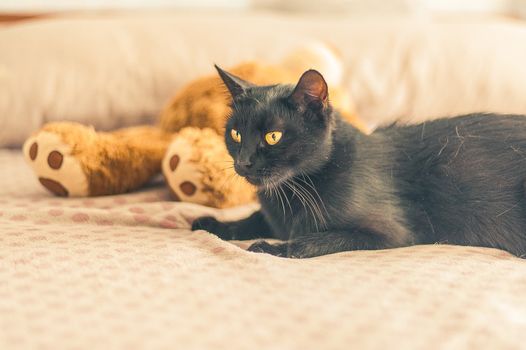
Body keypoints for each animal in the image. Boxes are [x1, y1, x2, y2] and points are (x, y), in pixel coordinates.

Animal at [192, 65, 526, 258]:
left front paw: (273, 248)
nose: (244, 162)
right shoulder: (274, 215)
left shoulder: (389, 232)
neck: (292, 191)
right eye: (235, 134)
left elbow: (313, 240)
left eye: (273, 136)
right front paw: (210, 223)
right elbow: (253, 219)